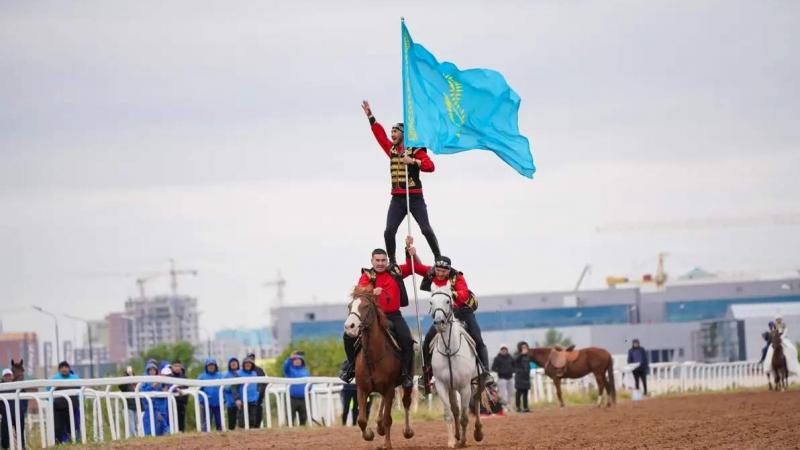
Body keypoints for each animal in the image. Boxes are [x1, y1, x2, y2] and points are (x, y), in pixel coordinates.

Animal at [342, 288, 416, 450]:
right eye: (349, 306)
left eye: (366, 306)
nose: (350, 327)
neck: (372, 356)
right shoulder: (362, 389)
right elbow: (361, 419)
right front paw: (369, 434)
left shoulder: (389, 388)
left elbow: (389, 418)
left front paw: (387, 444)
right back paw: (379, 426)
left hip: (405, 383)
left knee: (406, 402)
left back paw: (407, 431)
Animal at [428, 286, 484, 448]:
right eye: (431, 302)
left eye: (448, 301)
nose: (439, 322)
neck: (449, 350)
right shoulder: (442, 385)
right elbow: (449, 414)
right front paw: (452, 441)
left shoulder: (465, 387)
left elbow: (465, 416)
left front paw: (464, 441)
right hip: (452, 388)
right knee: (455, 409)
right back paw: (457, 435)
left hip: (476, 383)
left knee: (476, 402)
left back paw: (478, 432)